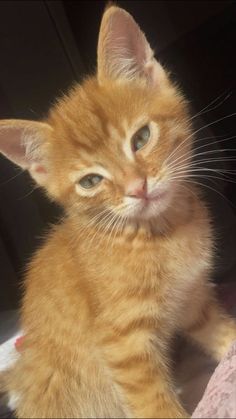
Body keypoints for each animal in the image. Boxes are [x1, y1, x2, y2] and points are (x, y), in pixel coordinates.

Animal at [0, 4, 236, 419]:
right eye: (91, 181)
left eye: (141, 138)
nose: (136, 188)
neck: (163, 231)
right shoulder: (125, 347)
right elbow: (155, 406)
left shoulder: (192, 300)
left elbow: (218, 332)